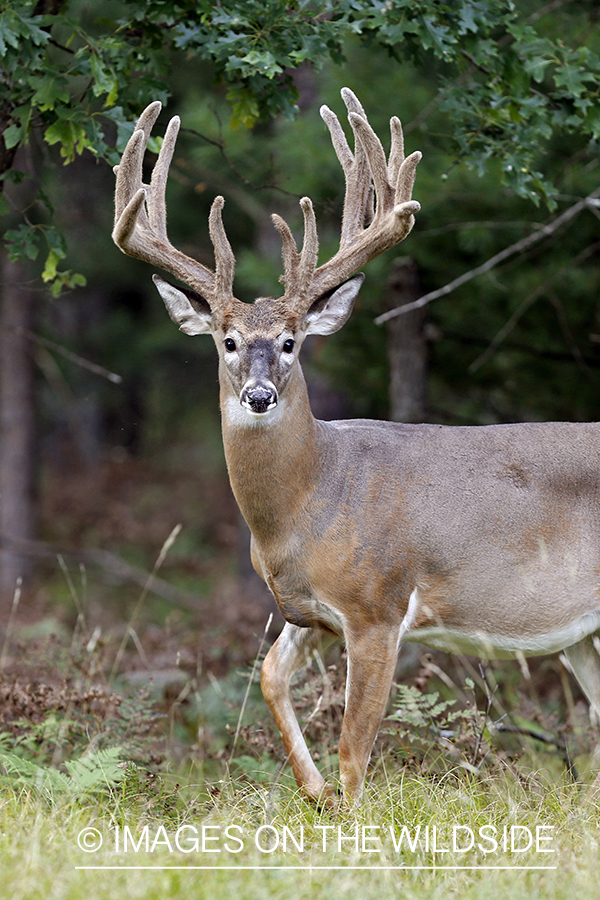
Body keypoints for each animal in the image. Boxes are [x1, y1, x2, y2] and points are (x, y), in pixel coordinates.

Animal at [113, 86, 600, 800]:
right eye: (228, 341)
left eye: (291, 341)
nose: (260, 395)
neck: (308, 506)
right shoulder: (306, 610)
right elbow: (270, 678)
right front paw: (312, 794)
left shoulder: (378, 604)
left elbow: (354, 746)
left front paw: (347, 814)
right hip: (584, 636)